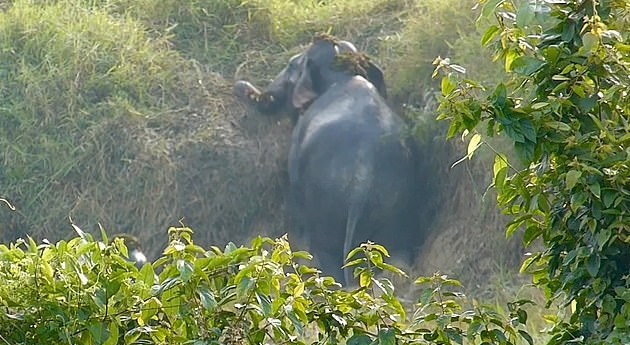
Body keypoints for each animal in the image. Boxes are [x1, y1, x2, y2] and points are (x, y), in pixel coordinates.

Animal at [235, 34, 422, 282]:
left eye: (291, 65)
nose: (240, 84)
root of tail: (362, 182)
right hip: (396, 206)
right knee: (399, 247)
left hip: (326, 207)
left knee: (325, 249)